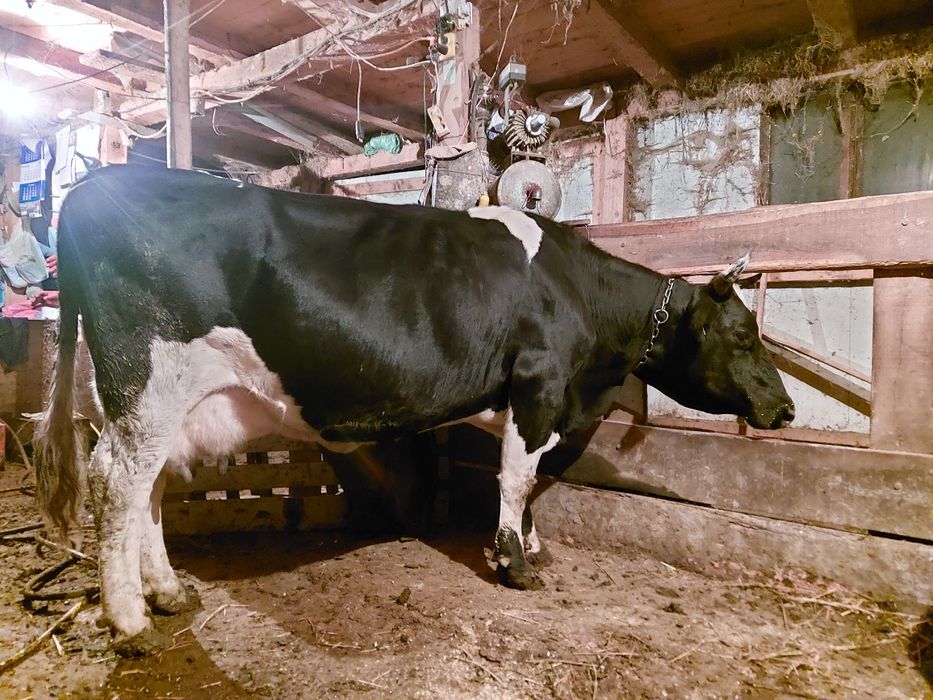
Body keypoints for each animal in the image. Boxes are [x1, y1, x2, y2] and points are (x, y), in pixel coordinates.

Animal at [35, 165, 793, 655]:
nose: (785, 409)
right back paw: (131, 623)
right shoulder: (539, 382)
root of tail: (93, 187)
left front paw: (532, 546)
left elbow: (532, 482)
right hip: (148, 384)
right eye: (741, 334)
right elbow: (518, 476)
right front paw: (514, 564)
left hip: (151, 404)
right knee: (115, 485)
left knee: (149, 489)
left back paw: (166, 592)